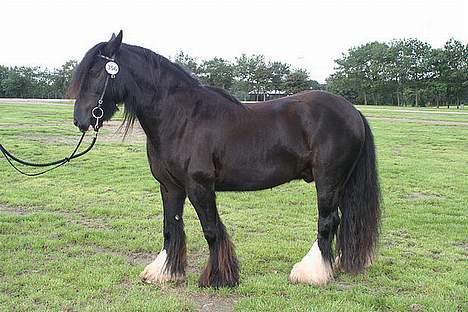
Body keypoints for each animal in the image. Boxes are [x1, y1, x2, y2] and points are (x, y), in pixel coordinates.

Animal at [68, 31, 380, 288]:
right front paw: (165, 272)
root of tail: (353, 111)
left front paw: (218, 278)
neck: (181, 117)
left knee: (328, 221)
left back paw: (311, 273)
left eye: (96, 72)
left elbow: (211, 230)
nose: (81, 120)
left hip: (328, 180)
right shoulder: (170, 187)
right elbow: (171, 227)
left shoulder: (200, 186)